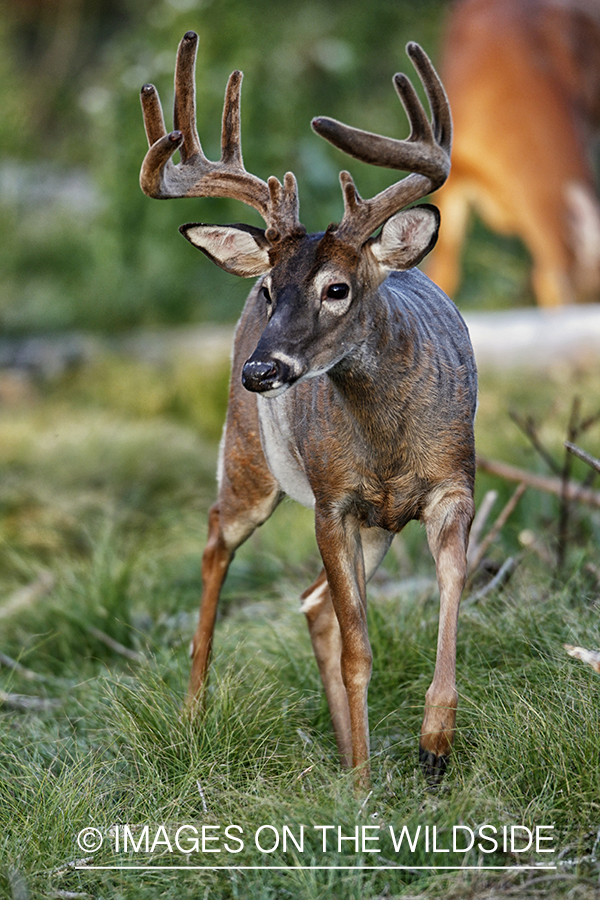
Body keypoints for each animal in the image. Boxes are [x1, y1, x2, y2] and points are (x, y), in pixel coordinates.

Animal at [138, 31, 476, 784]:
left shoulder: (453, 485)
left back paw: (348, 752)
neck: (387, 445)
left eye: (337, 288)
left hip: (377, 526)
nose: (260, 370)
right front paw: (368, 784)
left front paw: (433, 745)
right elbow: (360, 649)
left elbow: (450, 595)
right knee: (216, 540)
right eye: (270, 288)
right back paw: (193, 714)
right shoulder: (332, 501)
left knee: (315, 605)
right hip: (249, 460)